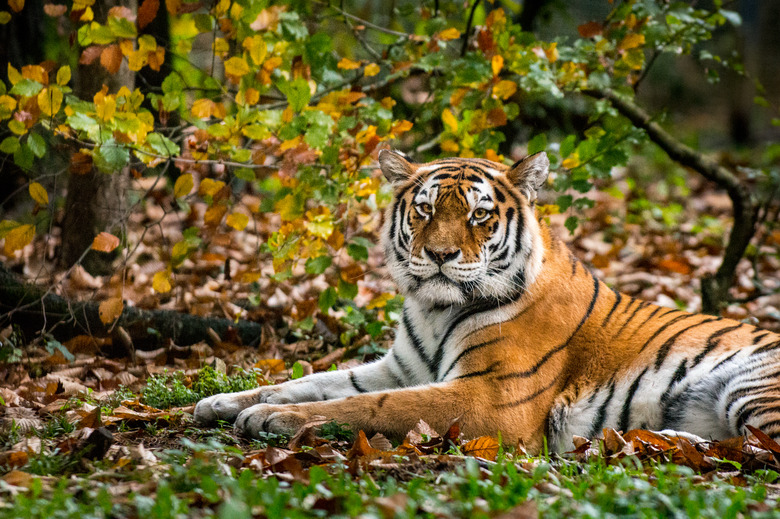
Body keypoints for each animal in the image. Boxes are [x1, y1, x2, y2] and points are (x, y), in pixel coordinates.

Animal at [193, 148, 780, 452]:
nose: (439, 255)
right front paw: (221, 402)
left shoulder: (488, 398)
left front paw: (270, 417)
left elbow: (369, 406)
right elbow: (313, 381)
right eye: (425, 209)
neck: (434, 310)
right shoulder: (399, 368)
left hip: (751, 389)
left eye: (479, 214)